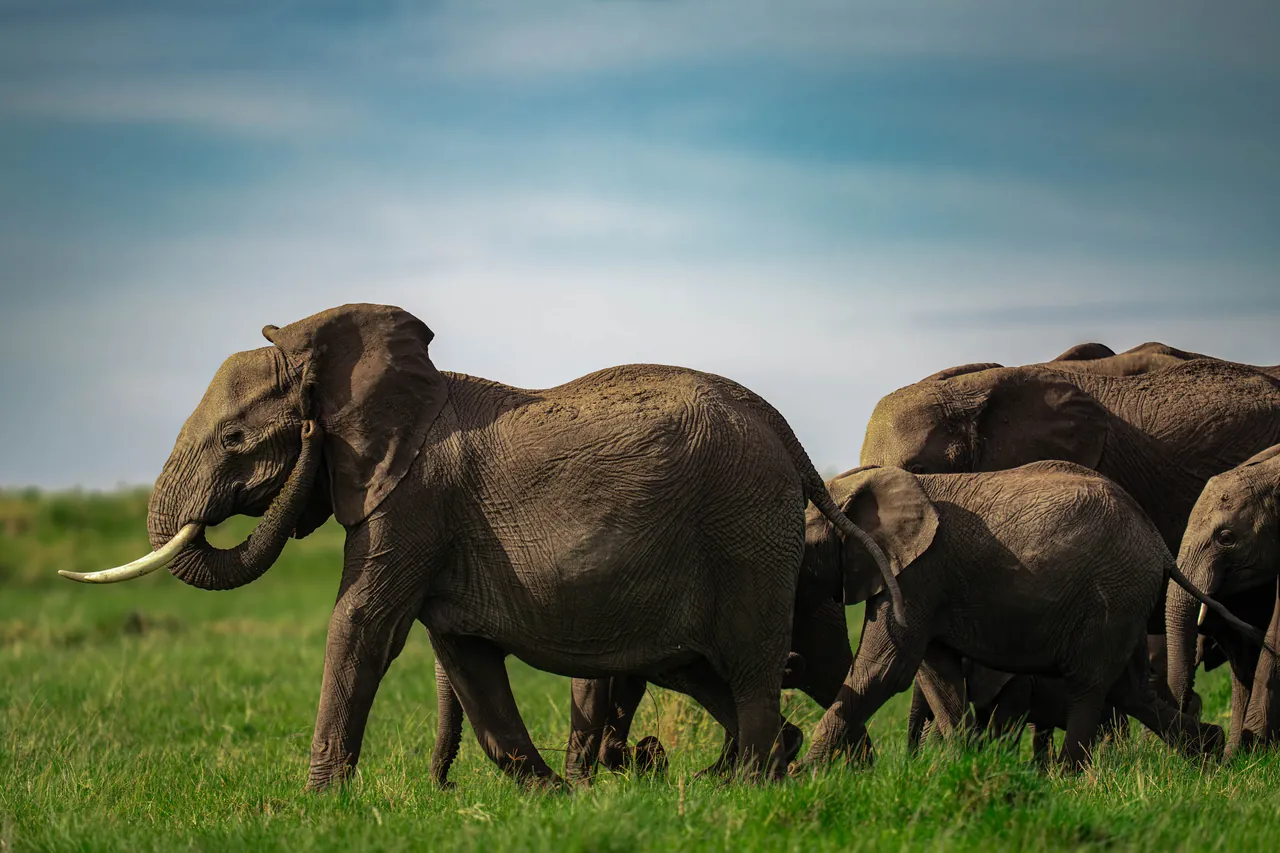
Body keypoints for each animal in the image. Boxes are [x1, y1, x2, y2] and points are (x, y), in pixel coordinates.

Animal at [59, 303, 903, 789]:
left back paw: (747, 789)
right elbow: (464, 655)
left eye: (236, 438)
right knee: (708, 669)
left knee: (753, 664)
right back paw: (761, 771)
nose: (441, 787)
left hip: (746, 529)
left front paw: (316, 805)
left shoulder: (410, 496)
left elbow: (362, 624)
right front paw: (553, 800)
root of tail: (784, 430)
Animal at [794, 462, 1251, 769]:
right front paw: (961, 763)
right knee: (1131, 689)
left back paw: (1067, 778)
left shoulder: (917, 575)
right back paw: (1210, 753)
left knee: (1089, 684)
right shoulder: (924, 582)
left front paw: (802, 776)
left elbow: (886, 670)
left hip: (1112, 593)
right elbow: (937, 674)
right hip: (1127, 598)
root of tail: (1158, 542)